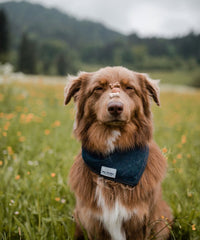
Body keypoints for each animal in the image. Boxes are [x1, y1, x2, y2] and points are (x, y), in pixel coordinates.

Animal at [64, 66, 172, 240]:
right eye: (98, 88)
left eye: (129, 88)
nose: (115, 107)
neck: (114, 162)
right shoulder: (92, 223)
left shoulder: (141, 222)